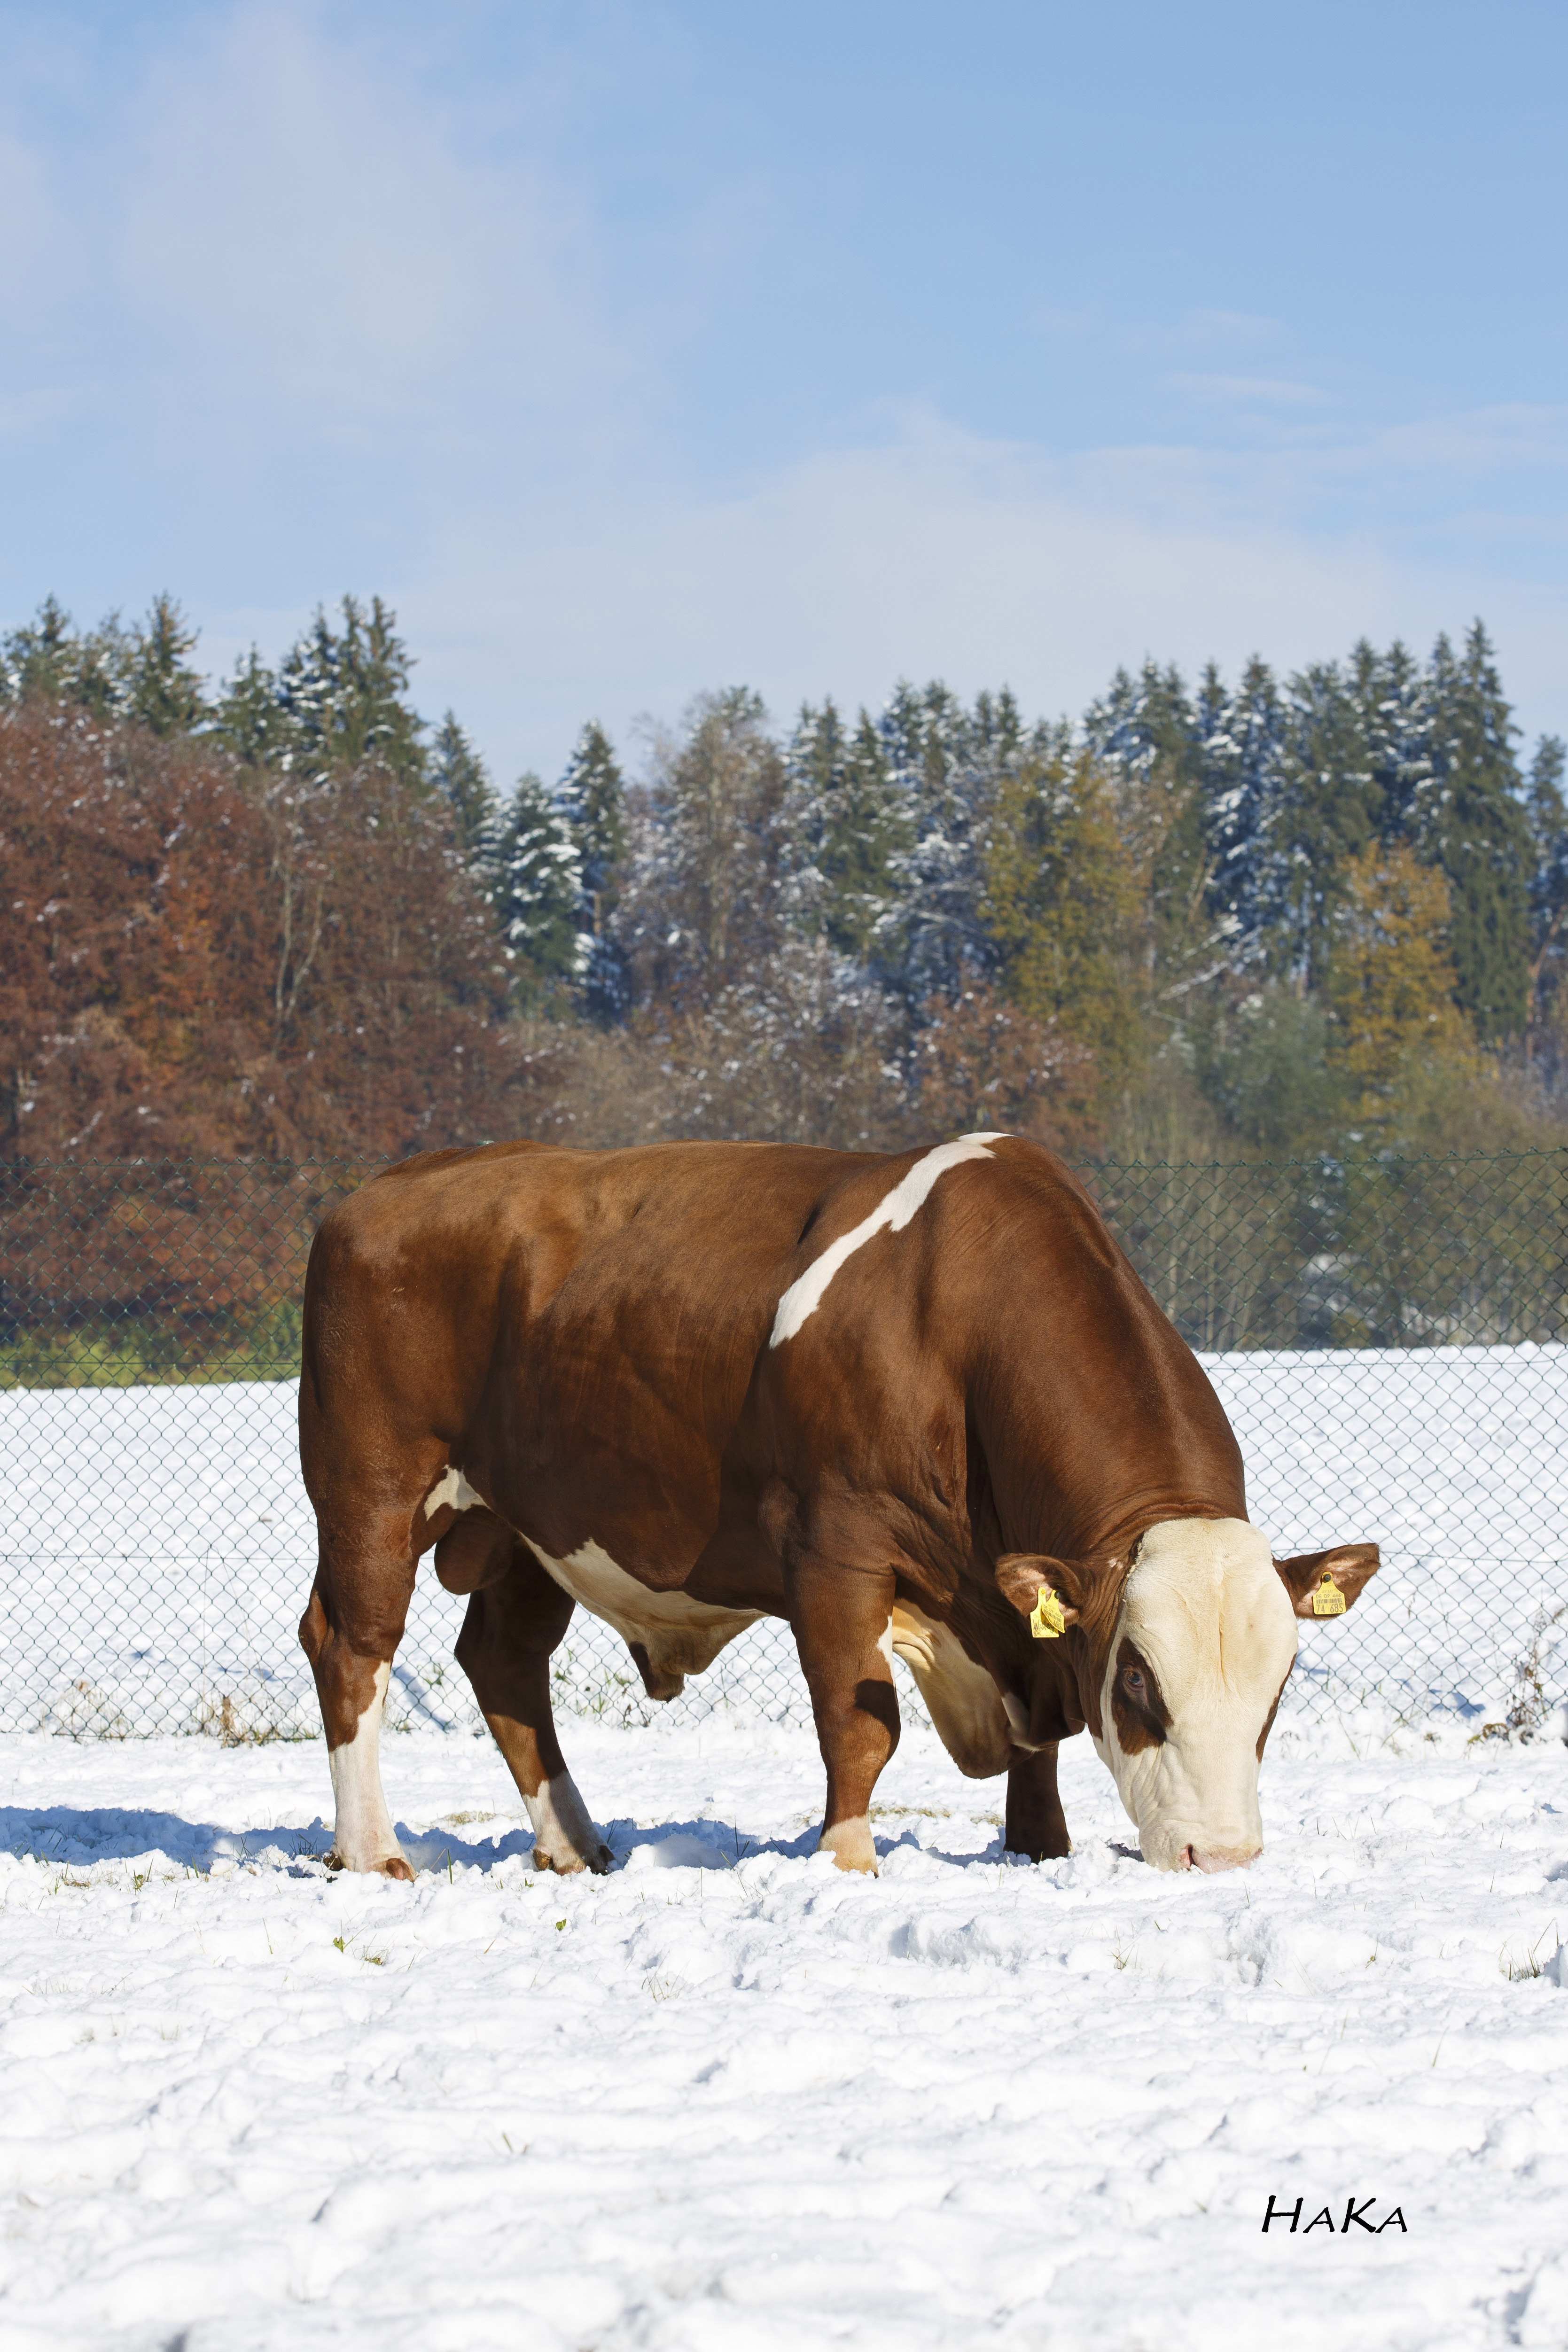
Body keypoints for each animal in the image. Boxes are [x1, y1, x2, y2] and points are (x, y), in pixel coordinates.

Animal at [301, 1129, 1382, 1881]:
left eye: (1279, 1684)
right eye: (1137, 1681)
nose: (1220, 1856)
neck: (956, 1333)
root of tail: (387, 1188)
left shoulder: (1022, 1606)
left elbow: (1038, 1742)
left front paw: (1039, 1848)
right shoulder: (835, 1550)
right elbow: (861, 1723)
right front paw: (848, 1857)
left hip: (534, 1529)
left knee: (505, 1662)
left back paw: (574, 1844)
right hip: (372, 1491)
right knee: (353, 1646)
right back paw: (373, 1849)